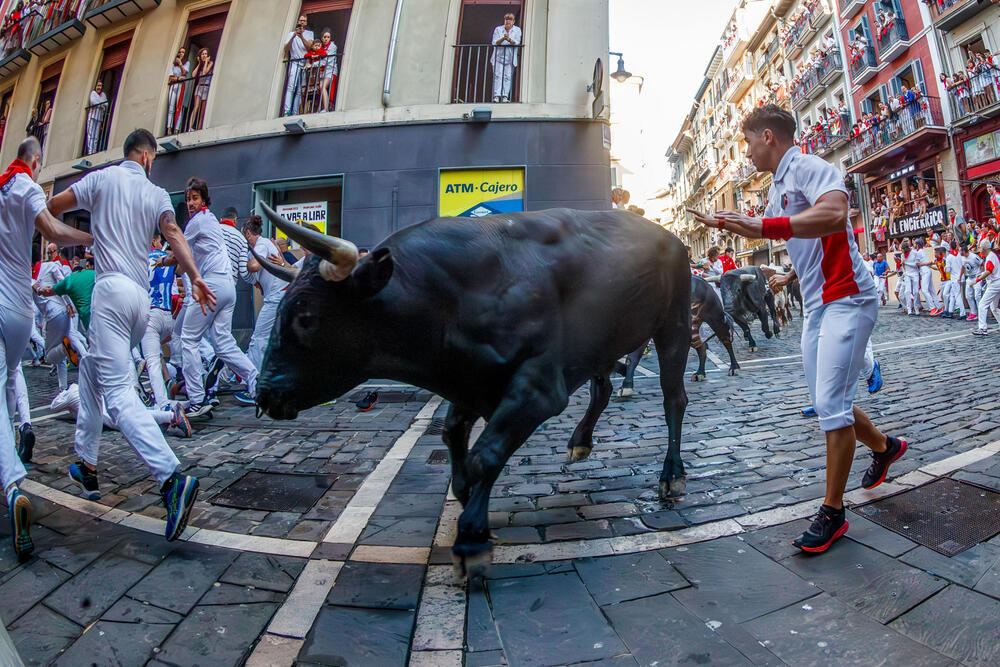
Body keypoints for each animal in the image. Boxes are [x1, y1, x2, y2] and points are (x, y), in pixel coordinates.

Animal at [252, 206, 688, 572]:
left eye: (307, 318)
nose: (264, 394)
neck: (453, 295)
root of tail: (669, 236)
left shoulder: (538, 389)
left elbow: (485, 455)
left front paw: (472, 535)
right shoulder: (472, 385)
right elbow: (453, 436)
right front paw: (466, 503)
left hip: (674, 327)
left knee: (674, 399)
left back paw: (672, 475)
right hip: (599, 346)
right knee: (603, 389)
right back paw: (580, 442)